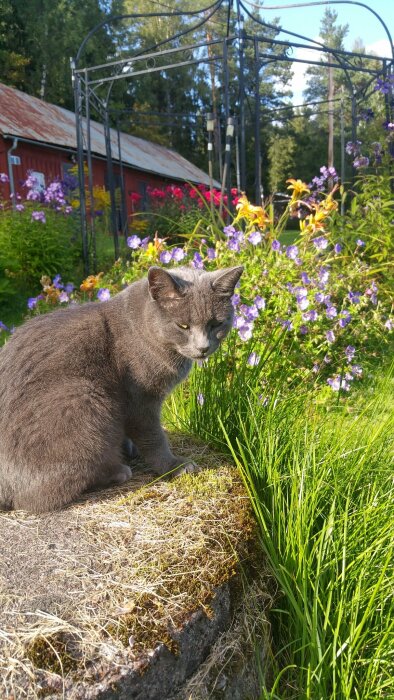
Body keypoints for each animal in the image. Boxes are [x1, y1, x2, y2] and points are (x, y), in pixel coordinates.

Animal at [0, 266, 243, 512]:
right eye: (182, 326)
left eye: (216, 324)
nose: (203, 348)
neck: (140, 328)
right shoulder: (141, 400)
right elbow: (154, 437)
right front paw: (174, 466)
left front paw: (130, 448)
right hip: (86, 397)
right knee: (35, 498)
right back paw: (117, 471)